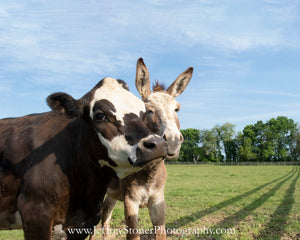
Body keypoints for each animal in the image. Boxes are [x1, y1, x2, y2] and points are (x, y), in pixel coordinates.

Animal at [96, 58, 195, 240]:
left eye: (176, 109)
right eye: (148, 110)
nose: (172, 140)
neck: (149, 173)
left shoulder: (158, 201)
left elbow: (161, 233)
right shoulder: (131, 201)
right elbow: (133, 235)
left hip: (112, 195)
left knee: (105, 219)